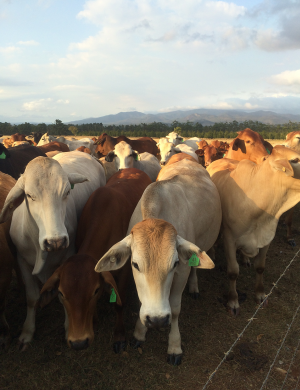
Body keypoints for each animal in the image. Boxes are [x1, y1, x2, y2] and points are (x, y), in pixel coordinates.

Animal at [0, 151, 106, 348]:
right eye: (29, 195)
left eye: (67, 192)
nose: (55, 241)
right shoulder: (21, 261)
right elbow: (31, 297)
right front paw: (27, 331)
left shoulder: (68, 258)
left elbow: (62, 294)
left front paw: (67, 326)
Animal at [39, 169, 152, 352]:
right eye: (61, 293)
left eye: (95, 291)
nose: (78, 342)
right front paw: (95, 321)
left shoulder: (124, 271)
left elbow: (119, 303)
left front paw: (119, 335)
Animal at [95, 158, 221, 366]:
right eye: (135, 264)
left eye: (174, 264)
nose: (157, 320)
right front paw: (139, 332)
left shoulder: (182, 272)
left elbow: (175, 309)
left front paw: (174, 346)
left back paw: (194, 286)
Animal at [207, 148, 300, 316]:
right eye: (296, 160)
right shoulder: (229, 238)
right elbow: (233, 271)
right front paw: (233, 301)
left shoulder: (267, 238)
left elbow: (260, 267)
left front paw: (260, 295)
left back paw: (245, 259)